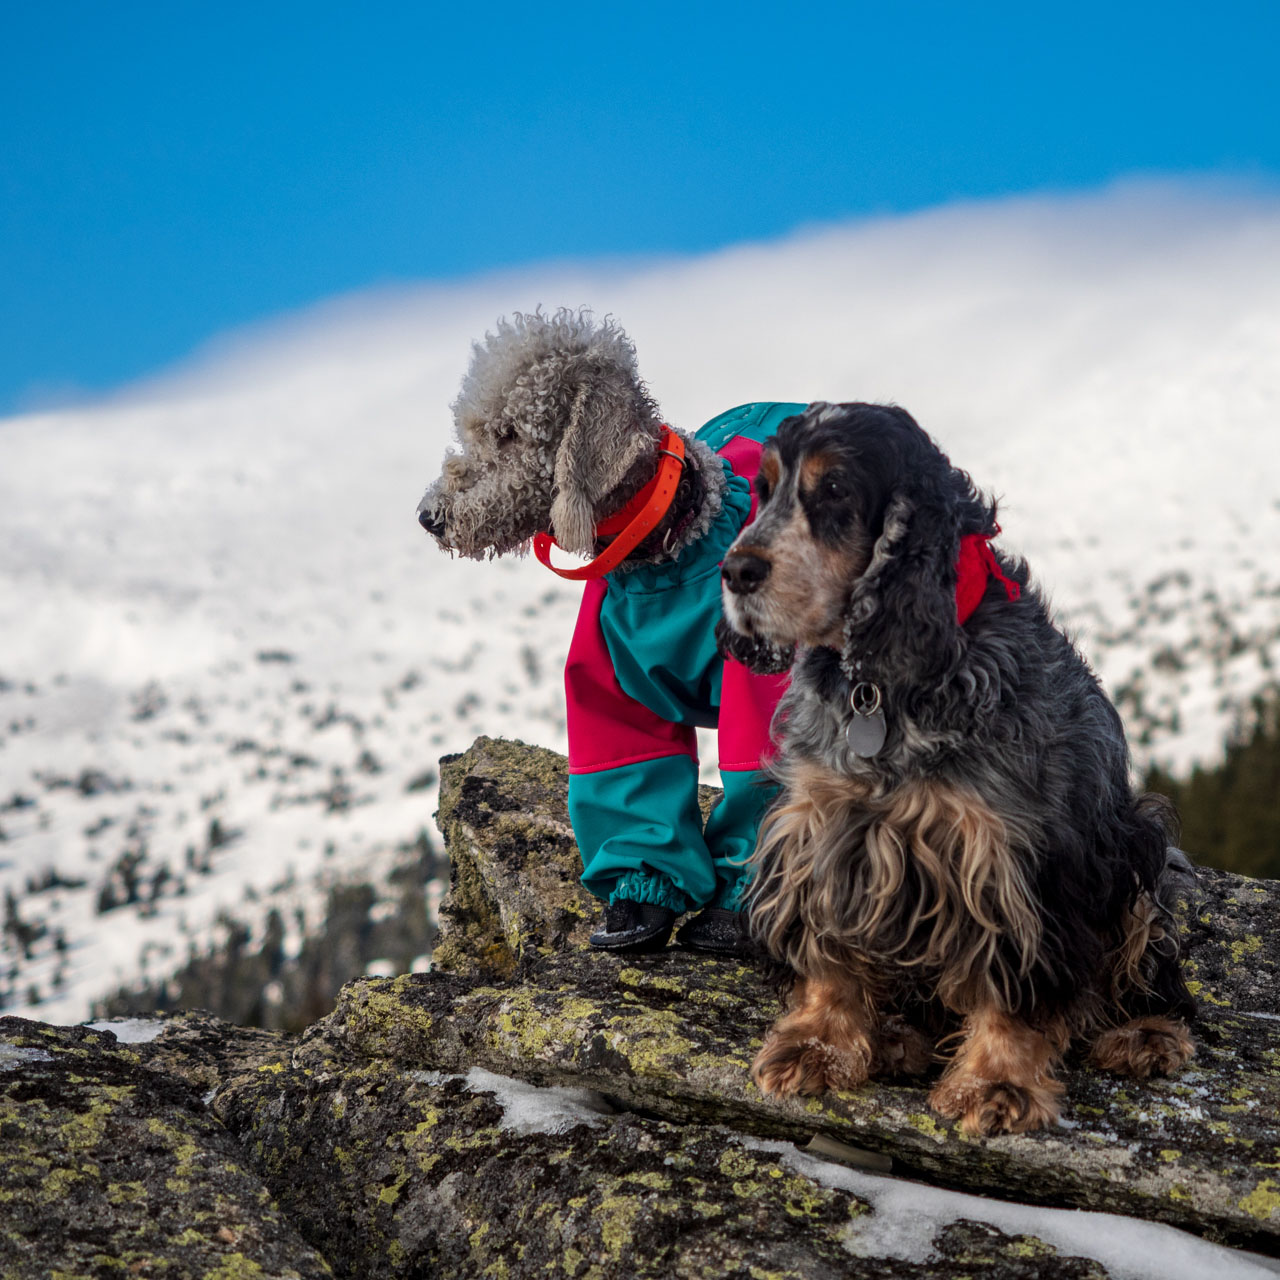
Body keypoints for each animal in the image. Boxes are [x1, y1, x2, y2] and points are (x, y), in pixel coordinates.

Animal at [419, 307, 793, 952]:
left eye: (511, 433)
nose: (428, 516)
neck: (671, 550)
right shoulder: (610, 684)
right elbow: (629, 767)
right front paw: (637, 905)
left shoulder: (759, 679)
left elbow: (757, 765)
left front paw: (732, 914)